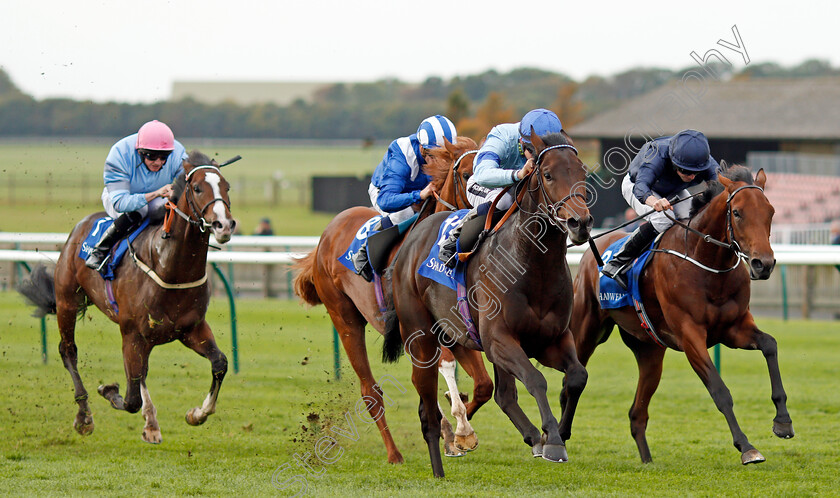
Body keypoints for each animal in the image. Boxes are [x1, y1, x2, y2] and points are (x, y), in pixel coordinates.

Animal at [19, 152, 236, 444]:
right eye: (198, 188)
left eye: (227, 187)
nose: (223, 225)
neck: (169, 267)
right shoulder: (132, 333)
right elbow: (131, 398)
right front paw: (109, 391)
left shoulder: (191, 328)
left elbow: (219, 363)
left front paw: (196, 414)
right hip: (67, 302)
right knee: (69, 351)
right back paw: (84, 416)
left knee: (140, 372)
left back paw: (150, 422)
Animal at [294, 136, 496, 462]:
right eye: (467, 175)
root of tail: (326, 236)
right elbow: (445, 367)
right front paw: (459, 427)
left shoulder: (458, 325)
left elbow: (482, 385)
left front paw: (456, 430)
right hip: (345, 318)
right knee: (370, 391)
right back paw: (394, 453)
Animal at [384, 130, 592, 476]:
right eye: (548, 174)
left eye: (583, 172)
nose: (581, 223)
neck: (533, 265)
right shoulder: (499, 339)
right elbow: (535, 379)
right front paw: (552, 440)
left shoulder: (551, 340)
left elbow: (577, 377)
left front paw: (558, 433)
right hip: (421, 337)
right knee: (428, 406)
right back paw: (443, 458)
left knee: (503, 396)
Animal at [568, 165, 792, 464]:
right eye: (737, 212)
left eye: (771, 211)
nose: (763, 264)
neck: (707, 264)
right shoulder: (690, 335)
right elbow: (719, 390)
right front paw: (747, 447)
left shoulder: (734, 328)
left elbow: (770, 345)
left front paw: (783, 421)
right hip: (586, 330)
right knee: (572, 381)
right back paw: (554, 439)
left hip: (649, 350)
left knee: (637, 414)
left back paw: (647, 461)